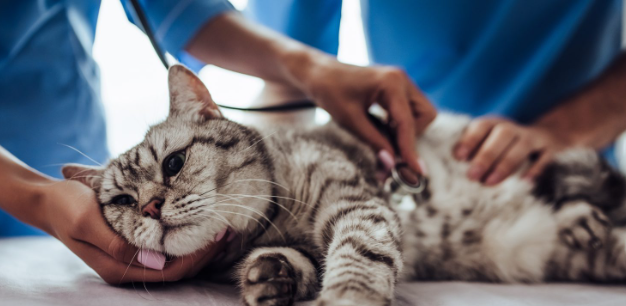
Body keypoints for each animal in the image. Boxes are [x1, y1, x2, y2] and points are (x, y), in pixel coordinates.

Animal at [62, 65, 624, 306]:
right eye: (122, 200)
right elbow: (300, 262)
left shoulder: (359, 206)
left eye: (174, 163)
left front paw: (349, 296)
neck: (269, 226)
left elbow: (358, 256)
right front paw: (273, 275)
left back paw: (580, 212)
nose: (150, 208)